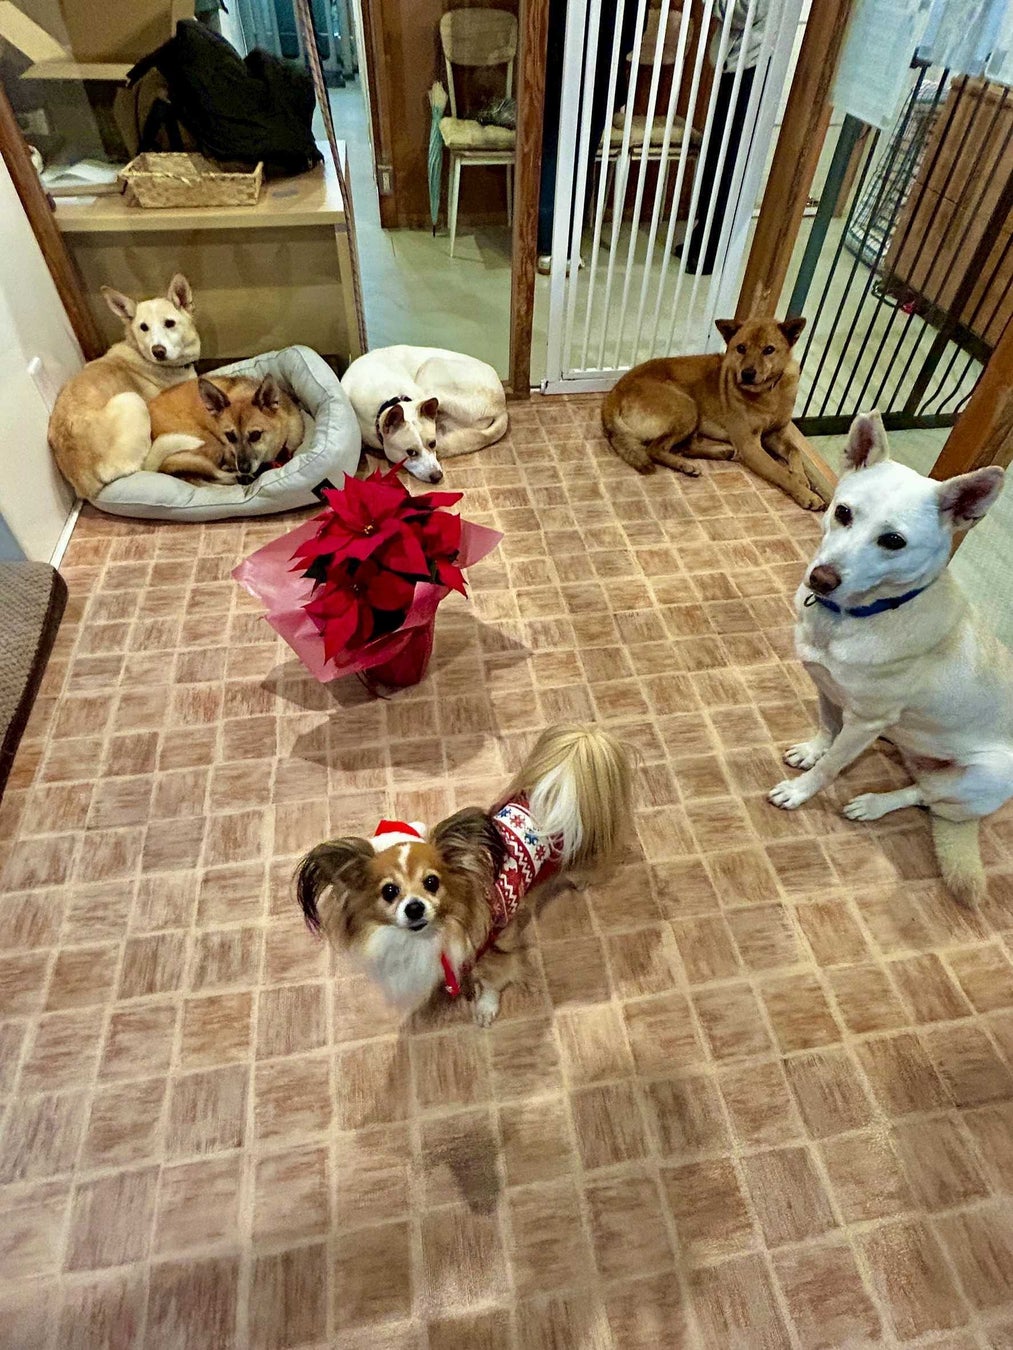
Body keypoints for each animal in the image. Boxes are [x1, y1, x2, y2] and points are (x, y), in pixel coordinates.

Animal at [296, 725, 633, 1024]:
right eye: (389, 891)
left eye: (431, 882)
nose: (414, 907)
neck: (430, 935)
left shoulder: (492, 952)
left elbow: (493, 982)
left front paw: (485, 1009)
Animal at [340, 344, 508, 485]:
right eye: (411, 452)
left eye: (433, 443)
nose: (437, 476)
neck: (386, 401)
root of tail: (502, 406)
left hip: (430, 368)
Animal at [602, 315, 824, 510]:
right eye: (741, 348)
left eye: (769, 350)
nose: (747, 374)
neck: (770, 392)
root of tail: (613, 395)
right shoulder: (750, 446)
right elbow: (780, 473)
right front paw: (806, 495)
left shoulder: (775, 434)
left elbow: (795, 450)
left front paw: (802, 478)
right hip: (688, 407)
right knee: (655, 449)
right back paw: (687, 463)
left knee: (683, 447)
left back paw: (715, 454)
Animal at [768, 411, 1011, 906]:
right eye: (843, 512)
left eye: (894, 541)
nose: (820, 579)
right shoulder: (825, 684)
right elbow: (828, 726)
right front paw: (813, 749)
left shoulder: (865, 719)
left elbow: (831, 767)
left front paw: (801, 791)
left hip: (987, 776)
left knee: (924, 795)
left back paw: (874, 803)